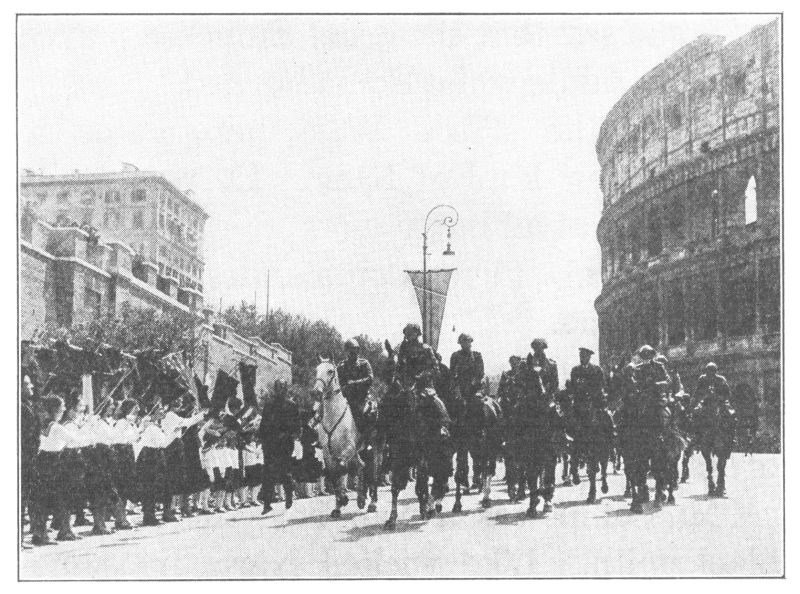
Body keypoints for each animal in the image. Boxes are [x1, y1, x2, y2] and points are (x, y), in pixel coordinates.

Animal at [310, 356, 368, 512]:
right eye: (316, 370)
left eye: (330, 371)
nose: (316, 392)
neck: (333, 416)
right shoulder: (328, 453)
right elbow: (333, 473)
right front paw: (338, 504)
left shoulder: (348, 448)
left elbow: (342, 468)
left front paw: (343, 498)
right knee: (360, 465)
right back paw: (360, 499)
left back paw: (369, 501)